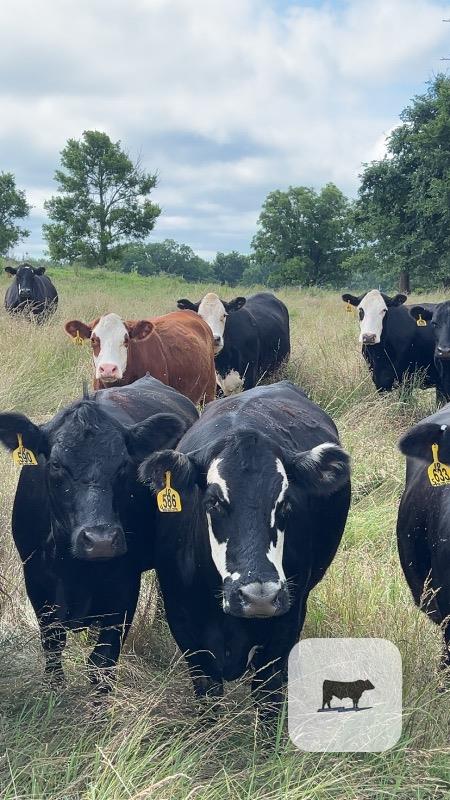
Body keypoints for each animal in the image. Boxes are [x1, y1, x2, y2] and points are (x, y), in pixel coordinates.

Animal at [0, 375, 198, 692]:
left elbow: (102, 661)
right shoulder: (36, 580)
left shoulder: (123, 587)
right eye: (55, 464)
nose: (101, 541)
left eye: (124, 464)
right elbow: (53, 647)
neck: (74, 569)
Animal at [139, 380, 350, 712]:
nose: (259, 596)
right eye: (213, 501)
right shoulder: (186, 626)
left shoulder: (284, 628)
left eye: (285, 503)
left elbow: (269, 697)